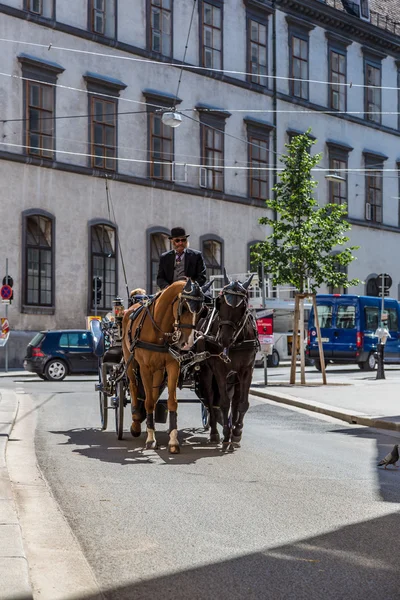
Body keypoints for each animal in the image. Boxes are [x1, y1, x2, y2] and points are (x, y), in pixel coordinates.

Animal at [122, 278, 209, 452]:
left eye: (202, 311)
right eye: (184, 308)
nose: (187, 344)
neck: (159, 331)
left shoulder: (172, 366)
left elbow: (171, 402)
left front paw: (173, 440)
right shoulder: (145, 368)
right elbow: (148, 401)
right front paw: (150, 439)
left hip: (159, 371)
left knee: (154, 393)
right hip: (130, 360)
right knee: (134, 386)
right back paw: (136, 421)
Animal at [195, 272, 260, 450]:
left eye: (242, 306)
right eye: (221, 303)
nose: (223, 339)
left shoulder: (246, 370)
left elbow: (242, 403)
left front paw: (236, 433)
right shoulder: (219, 370)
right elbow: (223, 403)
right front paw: (225, 434)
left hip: (234, 376)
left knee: (235, 399)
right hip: (206, 371)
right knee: (210, 398)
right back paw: (214, 433)